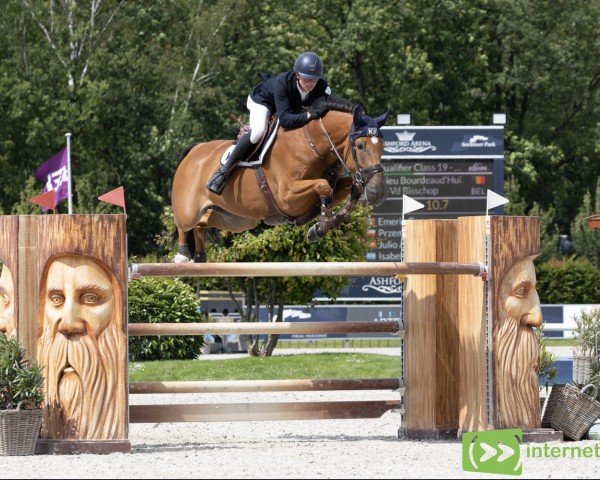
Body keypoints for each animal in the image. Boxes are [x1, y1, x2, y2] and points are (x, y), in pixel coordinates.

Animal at [171, 104, 392, 262]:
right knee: (184, 223)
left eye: (382, 145)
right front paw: (322, 225)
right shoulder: (287, 197)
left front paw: (325, 224)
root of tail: (193, 151)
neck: (313, 144)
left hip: (236, 219)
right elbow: (323, 185)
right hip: (190, 209)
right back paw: (183, 256)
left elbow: (350, 187)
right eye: (361, 146)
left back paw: (200, 256)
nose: (379, 192)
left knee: (201, 224)